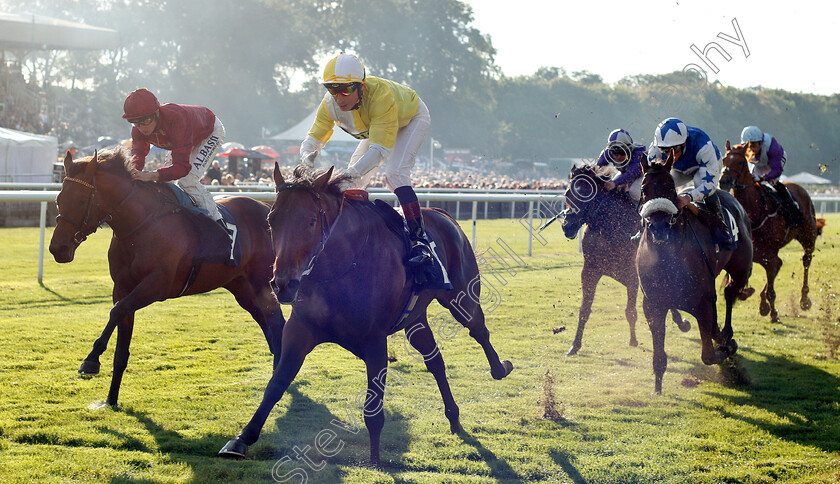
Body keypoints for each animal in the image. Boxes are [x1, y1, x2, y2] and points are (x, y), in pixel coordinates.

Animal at [50, 149, 286, 406]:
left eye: (82, 201)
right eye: (59, 199)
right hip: (242, 287)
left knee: (276, 321)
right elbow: (121, 340)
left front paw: (91, 360)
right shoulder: (122, 288)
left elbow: (116, 311)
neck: (138, 227)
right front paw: (111, 399)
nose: (57, 248)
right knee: (266, 320)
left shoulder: (157, 285)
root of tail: (267, 208)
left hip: (262, 282)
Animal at [218, 165, 512, 466]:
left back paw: (500, 368)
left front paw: (375, 460)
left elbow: (373, 408)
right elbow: (276, 384)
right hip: (415, 317)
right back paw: (453, 417)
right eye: (271, 220)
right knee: (435, 360)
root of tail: (444, 214)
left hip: (461, 296)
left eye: (311, 221)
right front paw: (242, 439)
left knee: (478, 329)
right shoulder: (299, 330)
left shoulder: (374, 341)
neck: (339, 267)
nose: (282, 284)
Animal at [556, 164, 688, 358]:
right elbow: (585, 309)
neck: (612, 227)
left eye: (586, 193)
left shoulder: (633, 275)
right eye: (567, 193)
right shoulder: (590, 270)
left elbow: (631, 311)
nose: (568, 227)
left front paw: (633, 340)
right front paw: (574, 346)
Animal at [636, 155, 756, 394]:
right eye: (644, 189)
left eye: (670, 187)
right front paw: (657, 389)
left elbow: (708, 355)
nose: (659, 228)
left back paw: (726, 334)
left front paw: (726, 348)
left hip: (740, 268)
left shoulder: (704, 301)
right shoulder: (652, 303)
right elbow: (659, 355)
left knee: (730, 293)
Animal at [720, 140, 816, 322]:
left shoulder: (769, 256)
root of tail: (800, 188)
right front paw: (760, 301)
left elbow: (771, 283)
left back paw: (804, 299)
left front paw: (772, 312)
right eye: (723, 160)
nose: (724, 181)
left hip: (808, 236)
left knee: (806, 261)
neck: (756, 212)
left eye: (741, 162)